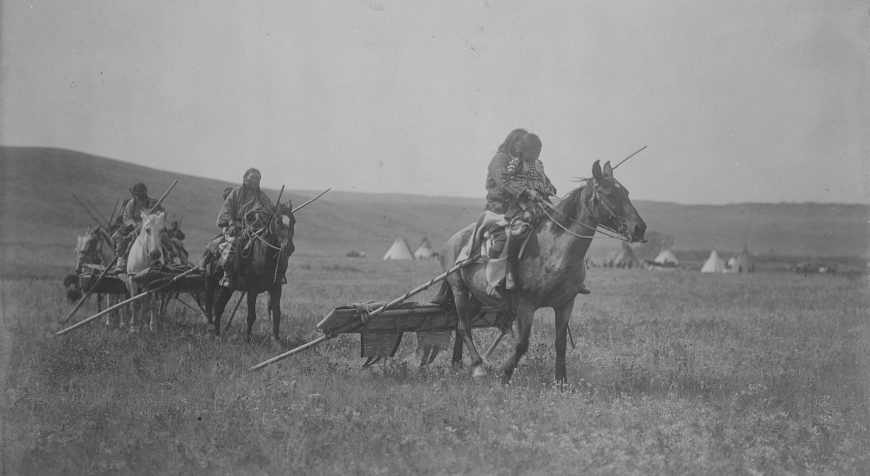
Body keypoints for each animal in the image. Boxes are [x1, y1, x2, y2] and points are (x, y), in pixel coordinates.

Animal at [204, 203, 296, 344]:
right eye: (278, 221)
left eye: (293, 221)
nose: (289, 247)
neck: (266, 255)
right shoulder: (252, 290)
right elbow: (251, 315)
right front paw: (248, 339)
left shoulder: (276, 288)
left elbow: (277, 313)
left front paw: (276, 340)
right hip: (210, 283)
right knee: (210, 305)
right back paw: (211, 332)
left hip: (227, 288)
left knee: (219, 307)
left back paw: (217, 334)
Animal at [442, 160, 648, 384]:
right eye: (609, 193)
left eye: (626, 192)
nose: (639, 228)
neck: (555, 252)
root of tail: (452, 240)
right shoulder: (526, 305)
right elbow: (522, 343)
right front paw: (505, 373)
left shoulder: (565, 304)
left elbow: (560, 344)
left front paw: (561, 382)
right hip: (459, 289)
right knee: (464, 326)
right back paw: (479, 367)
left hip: (478, 296)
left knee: (460, 325)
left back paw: (458, 364)